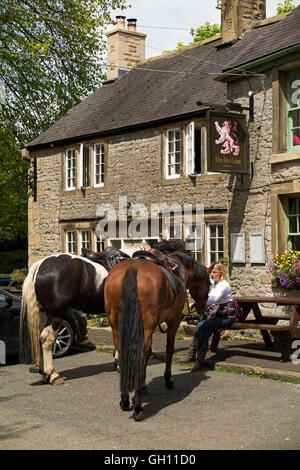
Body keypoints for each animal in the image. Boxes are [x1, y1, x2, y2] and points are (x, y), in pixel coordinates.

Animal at [103, 244, 209, 420]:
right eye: (209, 283)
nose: (204, 308)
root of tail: (132, 269)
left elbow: (148, 355)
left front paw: (143, 385)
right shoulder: (174, 321)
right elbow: (169, 349)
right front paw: (168, 380)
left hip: (116, 327)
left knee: (122, 355)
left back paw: (125, 400)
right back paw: (138, 408)